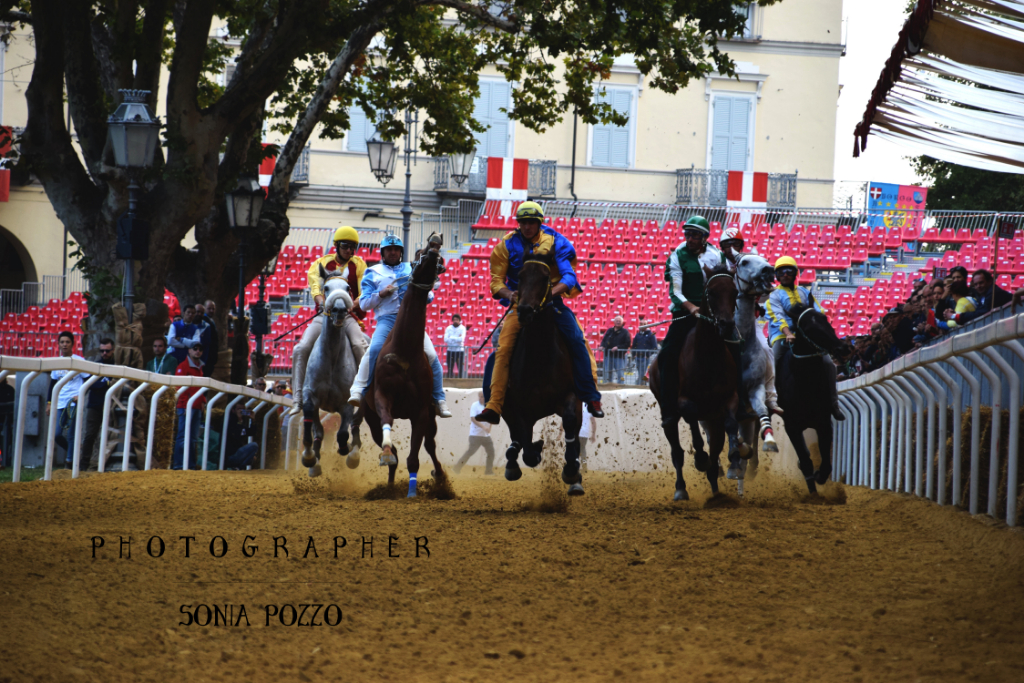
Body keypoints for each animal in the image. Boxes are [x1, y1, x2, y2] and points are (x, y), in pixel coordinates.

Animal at [299, 264, 364, 479]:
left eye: (348, 288)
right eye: (326, 288)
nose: (340, 310)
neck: (331, 359)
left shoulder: (346, 402)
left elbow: (343, 432)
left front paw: (346, 450)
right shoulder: (310, 395)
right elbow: (311, 425)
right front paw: (309, 457)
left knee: (357, 423)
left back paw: (353, 453)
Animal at [501, 248, 585, 493]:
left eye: (545, 278)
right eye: (520, 276)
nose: (525, 311)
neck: (540, 357)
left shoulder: (571, 395)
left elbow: (569, 422)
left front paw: (571, 470)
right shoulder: (519, 407)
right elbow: (527, 448)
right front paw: (536, 449)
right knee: (516, 438)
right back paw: (513, 462)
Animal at [651, 268, 749, 501]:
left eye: (734, 292)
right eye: (711, 292)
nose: (726, 325)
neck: (708, 357)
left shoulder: (729, 399)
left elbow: (731, 424)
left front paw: (734, 457)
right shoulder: (685, 402)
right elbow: (693, 427)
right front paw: (700, 458)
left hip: (713, 420)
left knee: (715, 448)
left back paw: (716, 492)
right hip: (669, 415)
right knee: (677, 452)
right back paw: (681, 489)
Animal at [774, 301, 847, 493]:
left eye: (825, 318)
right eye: (808, 327)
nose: (842, 348)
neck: (805, 382)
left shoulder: (823, 422)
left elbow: (825, 463)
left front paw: (819, 476)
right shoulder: (791, 426)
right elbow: (806, 463)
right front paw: (812, 492)